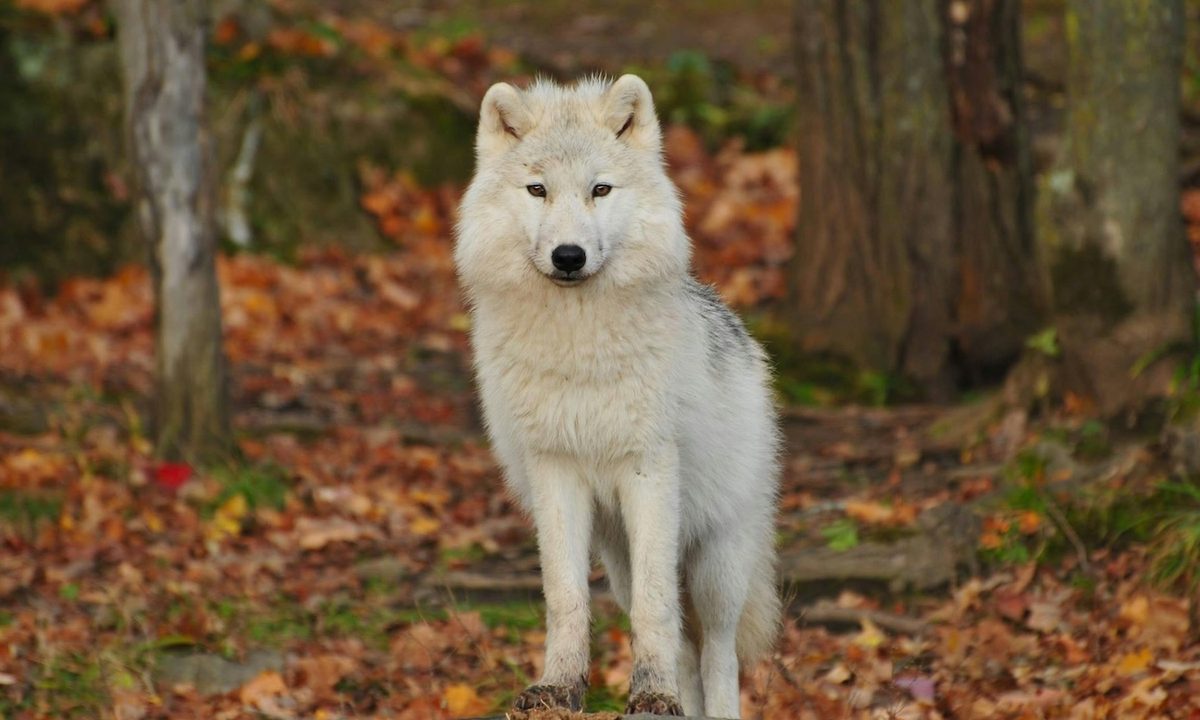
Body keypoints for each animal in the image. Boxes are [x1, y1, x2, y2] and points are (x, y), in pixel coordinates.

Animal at [454, 75, 781, 718]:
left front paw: (650, 693)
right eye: (537, 190)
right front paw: (559, 687)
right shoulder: (554, 470)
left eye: (600, 189)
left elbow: (657, 610)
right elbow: (565, 597)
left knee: (718, 653)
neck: (579, 349)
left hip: (716, 563)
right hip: (618, 558)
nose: (569, 256)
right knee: (684, 649)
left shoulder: (648, 469)